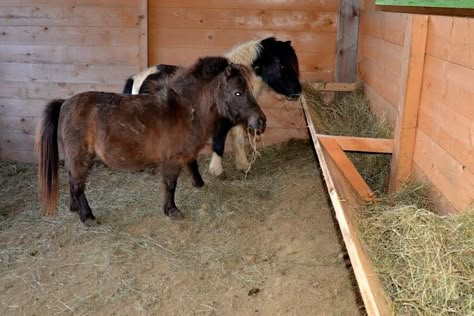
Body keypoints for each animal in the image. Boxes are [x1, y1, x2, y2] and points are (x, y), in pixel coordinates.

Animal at [36, 57, 266, 225]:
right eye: (238, 92)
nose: (261, 121)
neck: (185, 109)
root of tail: (65, 103)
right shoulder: (172, 160)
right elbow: (170, 185)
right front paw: (172, 210)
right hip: (81, 157)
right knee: (77, 185)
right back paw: (87, 217)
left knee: (72, 180)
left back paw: (74, 208)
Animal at [122, 37, 300, 178]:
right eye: (282, 66)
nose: (297, 92)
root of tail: (138, 77)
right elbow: (219, 143)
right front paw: (217, 171)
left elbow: (239, 141)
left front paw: (242, 165)